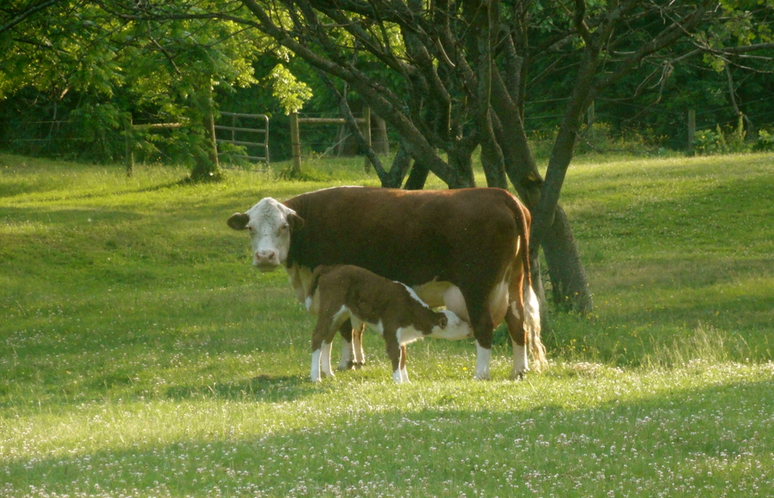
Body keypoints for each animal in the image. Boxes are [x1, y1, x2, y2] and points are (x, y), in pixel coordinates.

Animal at [306, 264, 470, 382]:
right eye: (457, 323)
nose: (470, 328)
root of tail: (329, 268)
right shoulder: (391, 330)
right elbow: (395, 355)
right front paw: (397, 381)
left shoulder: (402, 336)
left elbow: (403, 357)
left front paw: (406, 382)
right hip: (330, 308)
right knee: (318, 336)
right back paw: (316, 377)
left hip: (340, 314)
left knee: (327, 338)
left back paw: (328, 373)